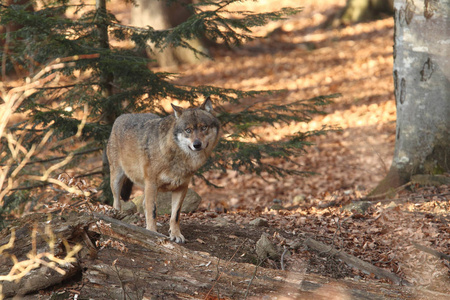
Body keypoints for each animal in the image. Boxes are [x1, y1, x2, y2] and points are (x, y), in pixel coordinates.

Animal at [107, 97, 220, 243]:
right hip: (117, 179)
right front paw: (151, 233)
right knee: (117, 201)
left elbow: (175, 215)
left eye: (204, 127)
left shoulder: (181, 187)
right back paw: (117, 217)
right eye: (188, 130)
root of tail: (121, 116)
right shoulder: (152, 184)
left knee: (144, 204)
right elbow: (153, 211)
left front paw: (176, 234)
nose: (197, 144)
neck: (177, 157)